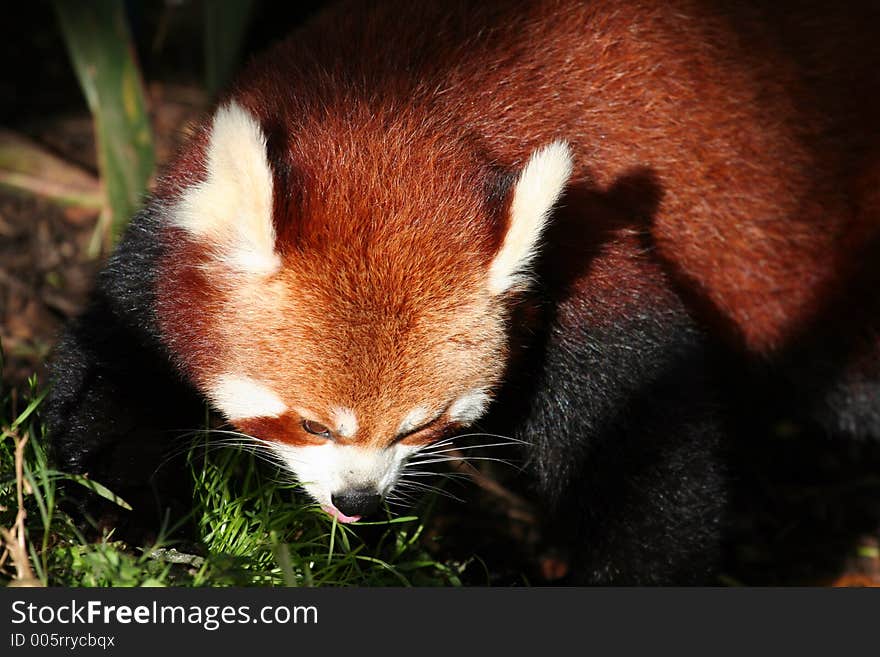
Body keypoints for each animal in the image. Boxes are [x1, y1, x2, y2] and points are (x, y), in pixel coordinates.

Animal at [46, 1, 880, 584]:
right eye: (310, 425)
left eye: (423, 425)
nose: (357, 500)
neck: (396, 106)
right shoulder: (168, 239)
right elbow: (113, 367)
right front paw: (105, 509)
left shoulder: (592, 266)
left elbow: (650, 463)